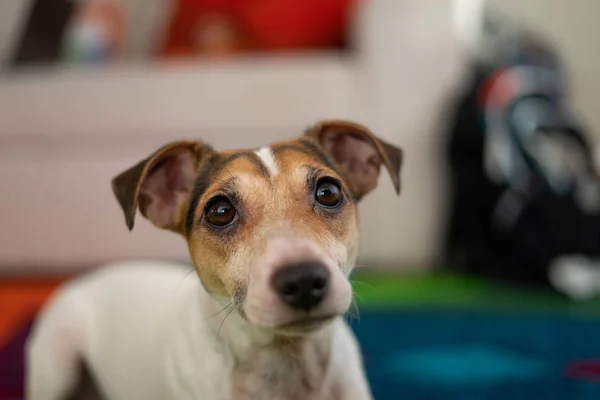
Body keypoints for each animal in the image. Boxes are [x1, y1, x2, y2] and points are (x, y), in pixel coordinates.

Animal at [24, 119, 404, 400]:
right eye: (220, 211)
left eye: (329, 192)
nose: (303, 279)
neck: (285, 362)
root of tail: (88, 276)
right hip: (57, 364)